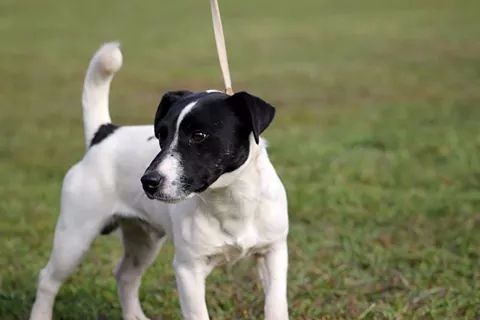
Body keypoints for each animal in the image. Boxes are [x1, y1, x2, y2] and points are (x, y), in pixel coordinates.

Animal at [30, 43, 288, 320]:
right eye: (161, 135)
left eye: (199, 135)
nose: (148, 182)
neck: (231, 202)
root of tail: (104, 134)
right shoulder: (189, 270)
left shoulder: (274, 254)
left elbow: (276, 307)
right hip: (75, 237)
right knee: (47, 280)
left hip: (142, 240)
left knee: (125, 276)